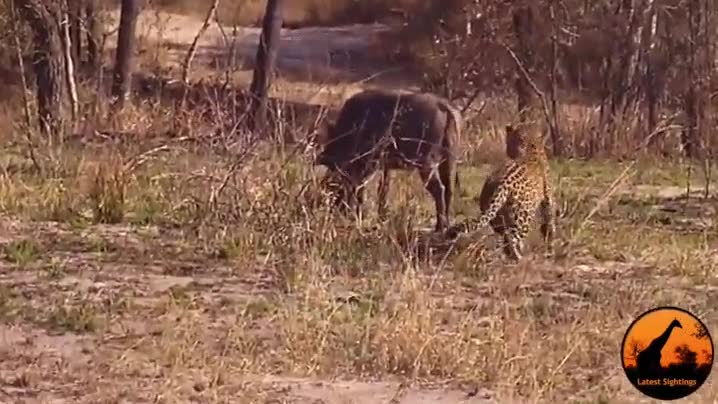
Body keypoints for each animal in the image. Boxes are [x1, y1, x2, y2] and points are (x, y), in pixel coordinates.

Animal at [445, 124, 555, 261]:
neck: (529, 146)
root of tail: (502, 183)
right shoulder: (547, 200)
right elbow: (549, 225)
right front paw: (550, 251)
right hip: (523, 216)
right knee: (511, 239)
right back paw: (520, 259)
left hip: (497, 218)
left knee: (505, 238)